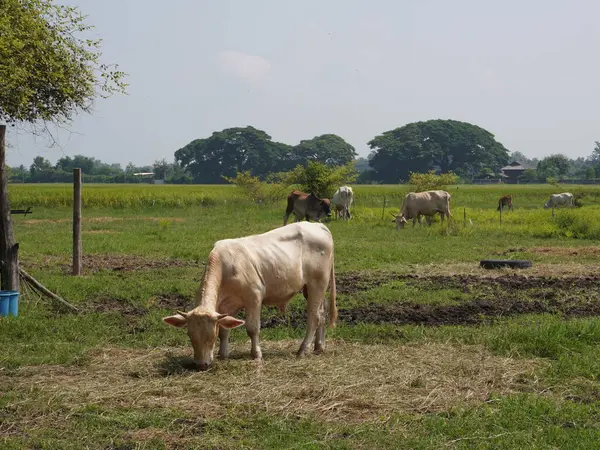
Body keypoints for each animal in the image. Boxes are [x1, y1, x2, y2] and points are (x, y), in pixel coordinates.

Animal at [162, 223, 336, 370]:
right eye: (190, 335)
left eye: (211, 336)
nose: (201, 365)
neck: (226, 267)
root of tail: (317, 224)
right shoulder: (226, 306)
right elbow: (225, 330)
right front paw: (223, 354)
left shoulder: (254, 297)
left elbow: (252, 328)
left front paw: (256, 355)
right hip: (310, 288)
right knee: (322, 313)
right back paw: (319, 347)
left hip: (317, 283)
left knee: (314, 317)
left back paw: (303, 350)